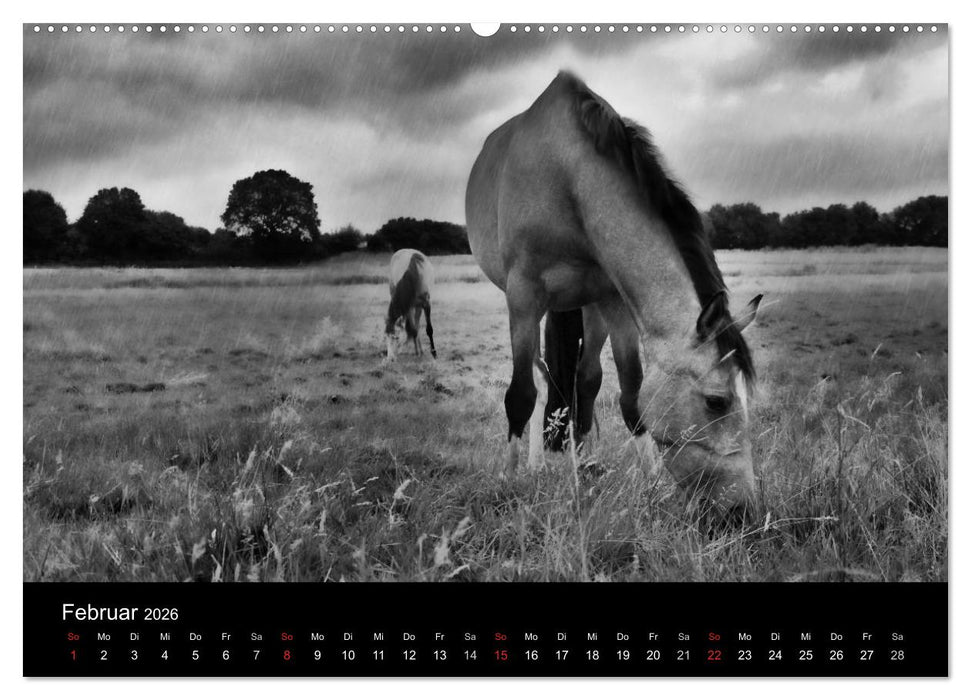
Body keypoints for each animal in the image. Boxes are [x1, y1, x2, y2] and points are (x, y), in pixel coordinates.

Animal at [465, 71, 763, 519]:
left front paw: (653, 487)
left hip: (591, 307)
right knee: (540, 376)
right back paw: (536, 466)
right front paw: (509, 483)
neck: (567, 177)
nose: (742, 510)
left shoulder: (614, 302)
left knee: (585, 379)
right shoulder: (523, 297)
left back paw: (585, 464)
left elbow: (631, 397)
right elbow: (520, 395)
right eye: (717, 401)